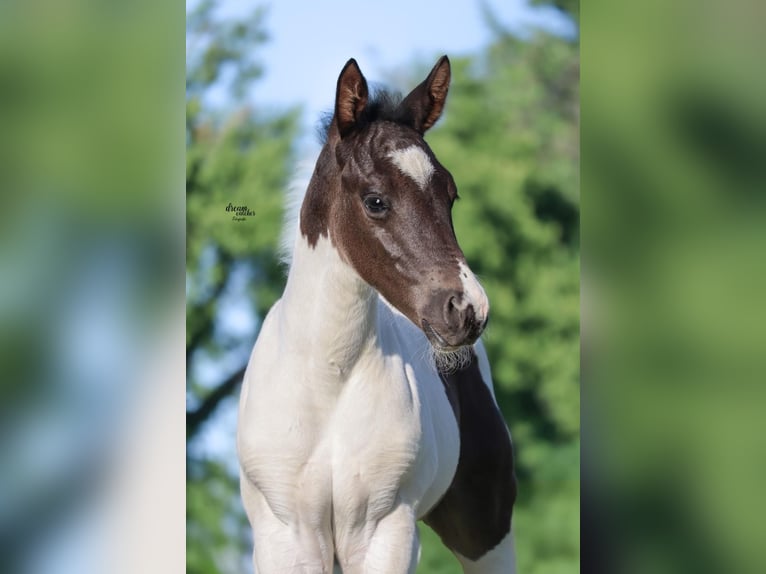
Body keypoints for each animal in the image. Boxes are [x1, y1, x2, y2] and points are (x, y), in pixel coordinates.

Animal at [237, 56, 516, 573]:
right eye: (375, 200)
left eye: (450, 196)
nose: (468, 310)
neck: (326, 380)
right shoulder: (287, 536)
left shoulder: (385, 531)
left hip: (486, 532)